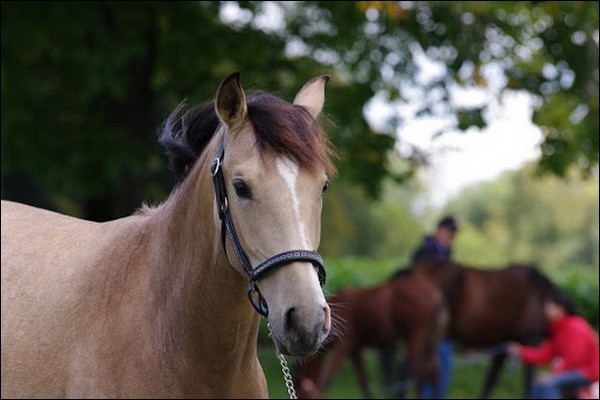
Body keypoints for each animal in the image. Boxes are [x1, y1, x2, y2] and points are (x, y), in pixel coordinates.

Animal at [292, 270, 448, 398]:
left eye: (299, 389)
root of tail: (435, 294)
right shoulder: (355, 350)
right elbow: (364, 381)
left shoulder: (344, 346)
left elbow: (327, 378)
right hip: (430, 341)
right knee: (433, 369)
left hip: (416, 338)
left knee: (419, 373)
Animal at [384, 258, 564, 398]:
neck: (540, 295)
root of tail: (412, 271)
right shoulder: (530, 339)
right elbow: (528, 381)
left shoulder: (503, 346)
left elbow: (490, 380)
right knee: (407, 370)